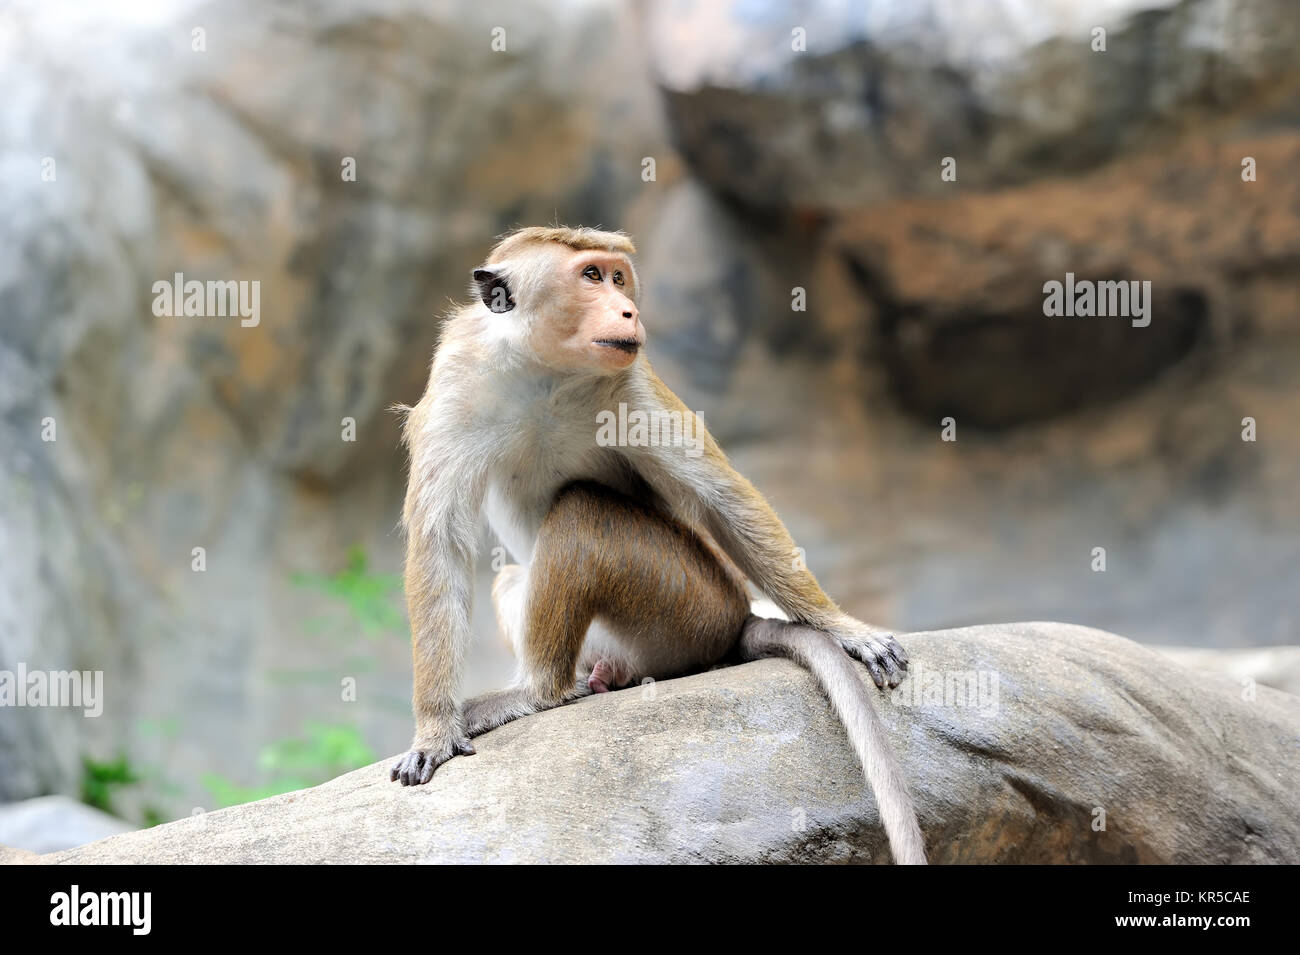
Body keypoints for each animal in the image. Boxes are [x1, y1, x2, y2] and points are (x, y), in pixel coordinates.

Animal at [391, 226, 925, 864]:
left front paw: (844, 627)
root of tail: (738, 616)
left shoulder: (633, 383)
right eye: (590, 276)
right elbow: (440, 543)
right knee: (516, 574)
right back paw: (590, 681)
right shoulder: (456, 381)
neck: (545, 374)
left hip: (684, 599)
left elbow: (721, 497)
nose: (630, 310)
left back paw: (540, 692)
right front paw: (435, 729)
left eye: (618, 278)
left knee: (583, 511)